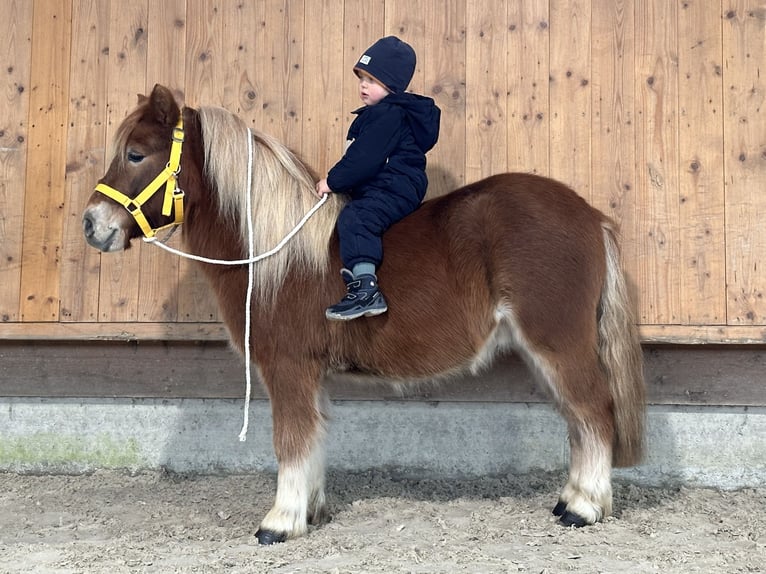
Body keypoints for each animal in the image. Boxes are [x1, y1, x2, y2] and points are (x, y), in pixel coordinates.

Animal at [85, 84, 648, 544]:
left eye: (136, 153)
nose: (93, 225)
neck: (274, 250)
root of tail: (591, 216)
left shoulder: (288, 367)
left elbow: (291, 439)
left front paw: (280, 522)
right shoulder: (309, 374)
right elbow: (312, 439)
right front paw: (310, 511)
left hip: (558, 343)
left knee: (594, 411)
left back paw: (584, 508)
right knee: (577, 419)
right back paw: (570, 499)